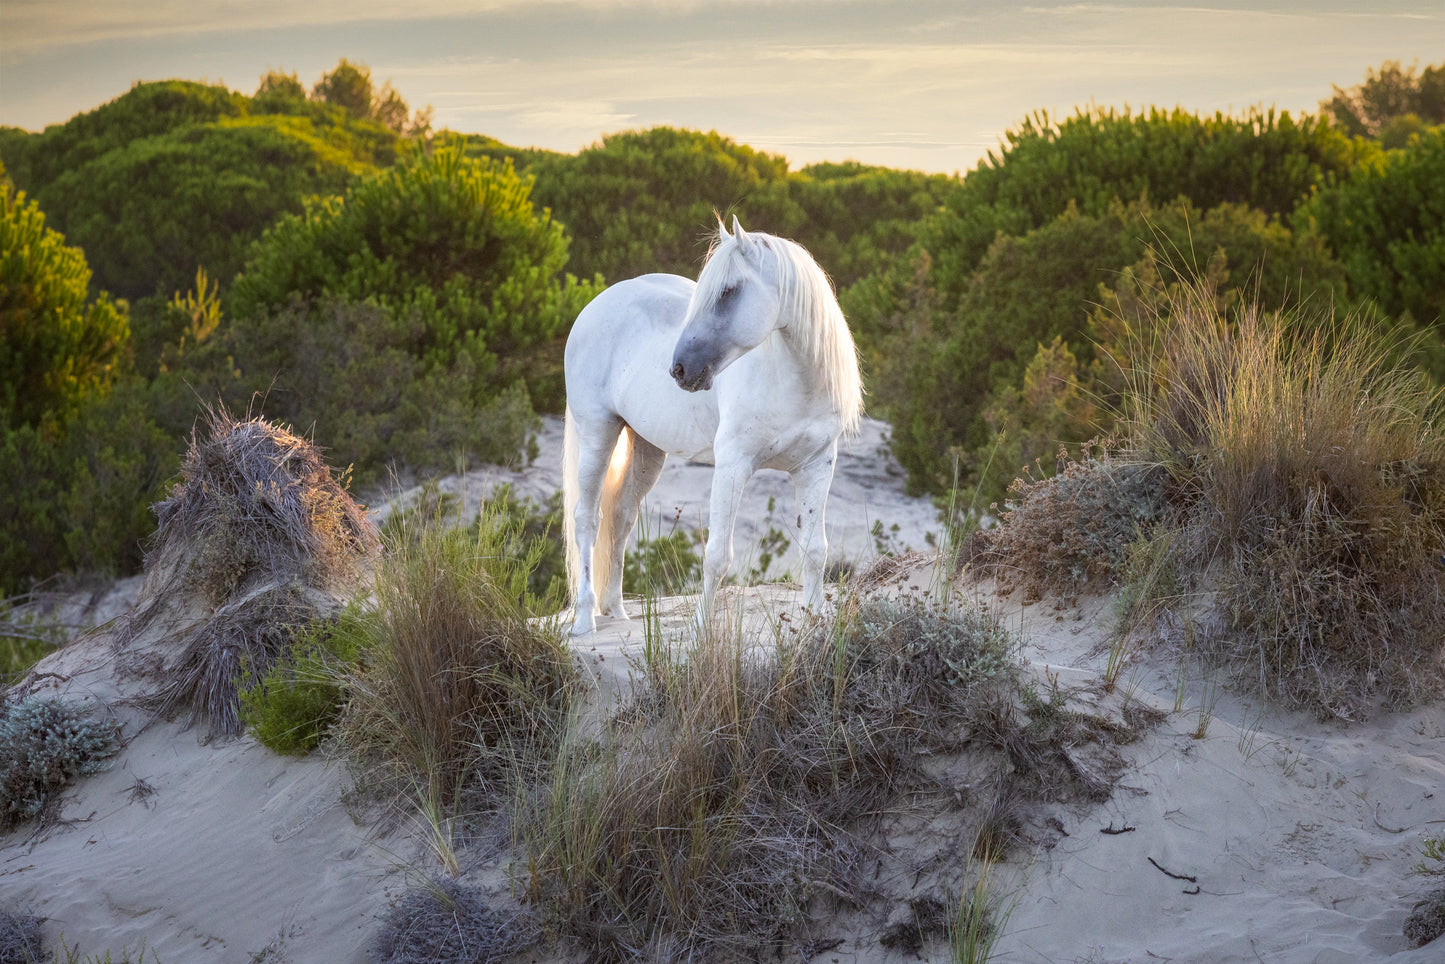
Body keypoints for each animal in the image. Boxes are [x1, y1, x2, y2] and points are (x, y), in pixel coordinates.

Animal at [560, 221, 855, 641]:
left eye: (728, 291)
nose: (680, 369)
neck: (792, 381)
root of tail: (594, 306)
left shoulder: (816, 467)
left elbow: (815, 550)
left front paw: (816, 624)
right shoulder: (733, 466)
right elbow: (717, 555)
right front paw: (700, 629)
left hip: (647, 450)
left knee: (621, 516)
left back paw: (616, 611)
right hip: (597, 434)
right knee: (587, 518)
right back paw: (585, 620)